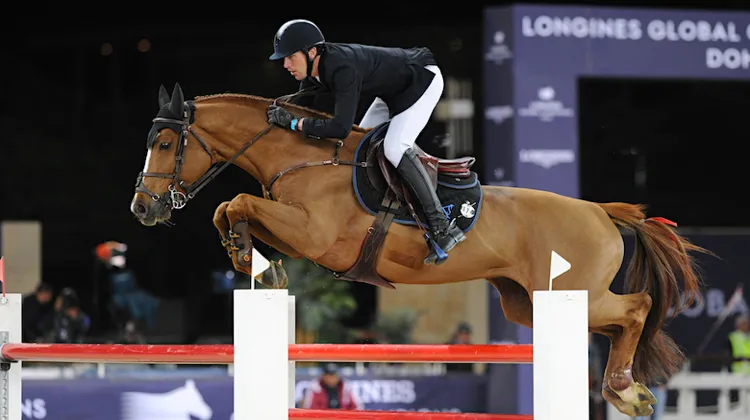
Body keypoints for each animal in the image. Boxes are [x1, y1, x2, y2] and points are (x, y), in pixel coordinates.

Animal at [130, 83, 709, 417]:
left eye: (165, 143)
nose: (142, 208)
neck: (303, 156)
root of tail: (600, 211)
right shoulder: (292, 229)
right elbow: (231, 209)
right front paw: (252, 260)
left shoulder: (316, 234)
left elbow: (237, 201)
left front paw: (252, 260)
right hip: (527, 304)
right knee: (616, 324)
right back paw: (626, 387)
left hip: (572, 292)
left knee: (636, 308)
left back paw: (625, 391)